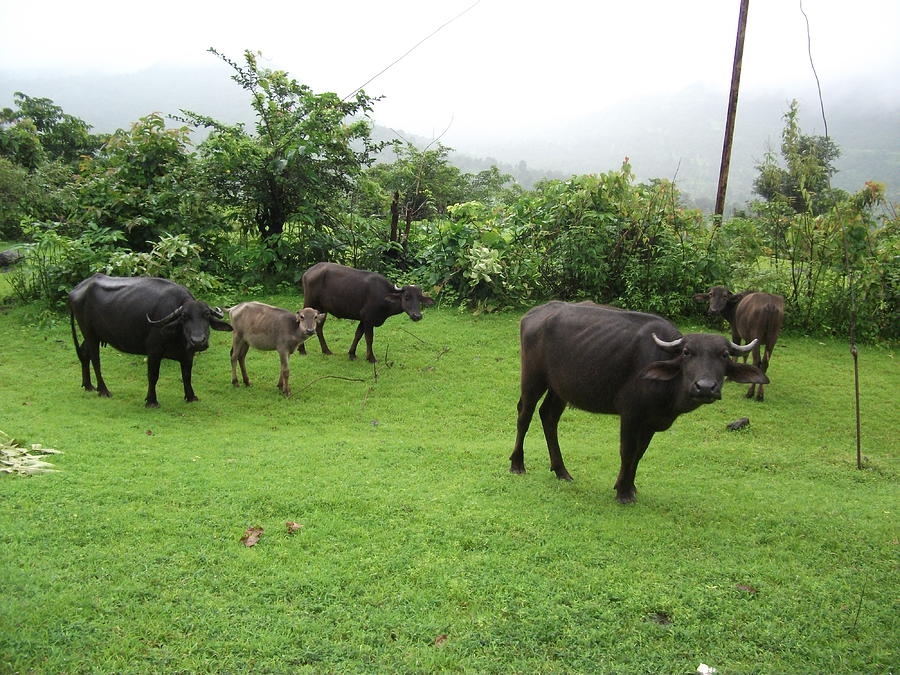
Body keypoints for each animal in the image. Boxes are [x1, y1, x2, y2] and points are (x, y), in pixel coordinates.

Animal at [69, 274, 232, 406]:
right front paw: (151, 400)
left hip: (93, 335)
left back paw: (88, 385)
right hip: (89, 334)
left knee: (84, 354)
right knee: (96, 361)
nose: (198, 341)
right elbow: (153, 375)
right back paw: (103, 390)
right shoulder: (154, 351)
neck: (177, 336)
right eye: (184, 316)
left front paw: (191, 396)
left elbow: (187, 375)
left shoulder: (188, 354)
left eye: (206, 315)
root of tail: (75, 290)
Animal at [298, 262, 432, 364]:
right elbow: (369, 339)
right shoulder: (368, 319)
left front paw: (352, 354)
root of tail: (307, 272)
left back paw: (326, 350)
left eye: (420, 298)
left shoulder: (363, 319)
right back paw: (302, 350)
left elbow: (358, 335)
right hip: (310, 303)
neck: (383, 297)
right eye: (406, 297)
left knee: (319, 327)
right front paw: (371, 358)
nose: (417, 316)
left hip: (323, 309)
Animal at [506, 304, 768, 504]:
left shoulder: (651, 421)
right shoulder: (630, 414)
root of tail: (533, 315)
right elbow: (627, 451)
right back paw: (517, 464)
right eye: (686, 352)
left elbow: (640, 453)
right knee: (525, 415)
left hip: (560, 387)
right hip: (533, 379)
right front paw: (623, 492)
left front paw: (629, 486)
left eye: (724, 355)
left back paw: (561, 470)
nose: (705, 387)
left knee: (549, 416)